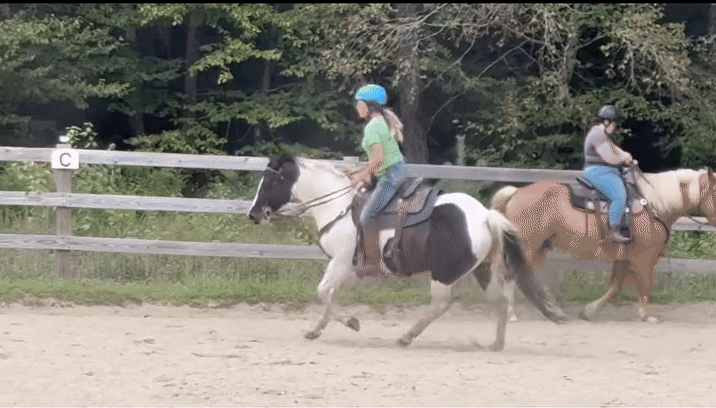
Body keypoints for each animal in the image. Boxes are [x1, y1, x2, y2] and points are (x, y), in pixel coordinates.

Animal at [247, 156, 568, 351]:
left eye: (270, 181)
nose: (253, 214)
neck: (337, 208)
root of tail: (486, 215)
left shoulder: (339, 264)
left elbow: (323, 293)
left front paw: (351, 322)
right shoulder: (347, 270)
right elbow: (330, 297)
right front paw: (316, 330)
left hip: (444, 274)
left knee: (440, 305)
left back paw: (406, 337)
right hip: (483, 270)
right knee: (500, 302)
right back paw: (495, 345)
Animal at [490, 165, 716, 323]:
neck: (653, 205)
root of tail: (516, 193)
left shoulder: (625, 257)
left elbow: (616, 287)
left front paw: (588, 311)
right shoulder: (644, 258)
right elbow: (644, 285)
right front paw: (645, 315)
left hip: (538, 249)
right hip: (527, 246)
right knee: (511, 275)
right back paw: (512, 313)